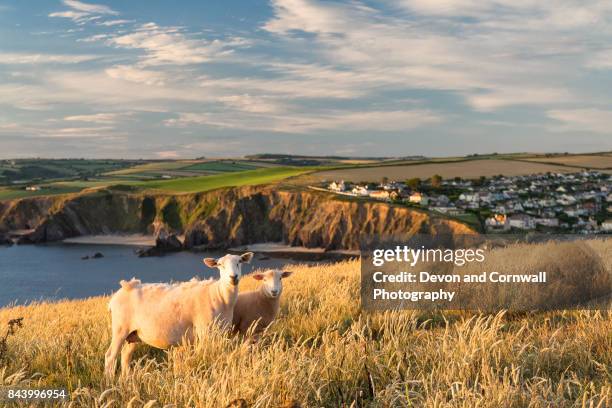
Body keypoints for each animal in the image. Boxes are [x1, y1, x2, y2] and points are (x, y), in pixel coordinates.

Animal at [104, 252, 252, 380]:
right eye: (220, 264)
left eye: (239, 262)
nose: (233, 277)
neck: (219, 295)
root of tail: (119, 292)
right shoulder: (204, 332)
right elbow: (206, 356)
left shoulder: (220, 333)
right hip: (120, 329)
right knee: (110, 356)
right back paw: (110, 381)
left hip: (133, 334)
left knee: (125, 355)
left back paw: (126, 379)